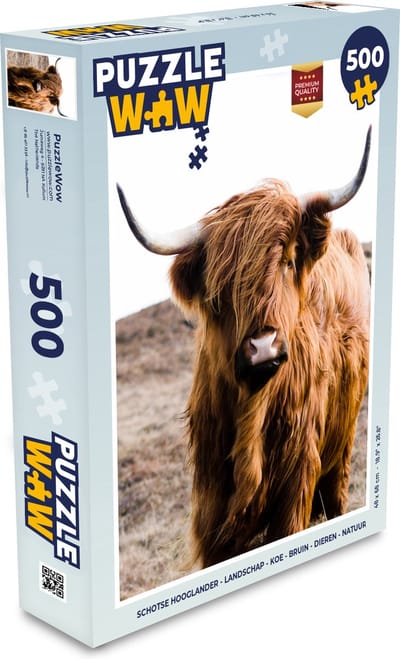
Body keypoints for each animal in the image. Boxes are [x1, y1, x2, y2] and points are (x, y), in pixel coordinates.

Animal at [117, 127, 371, 569]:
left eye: (288, 261)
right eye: (221, 287)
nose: (263, 346)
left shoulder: (297, 483)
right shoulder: (211, 501)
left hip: (342, 444)